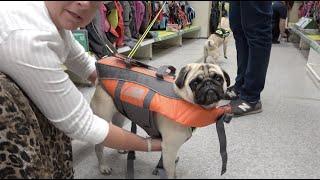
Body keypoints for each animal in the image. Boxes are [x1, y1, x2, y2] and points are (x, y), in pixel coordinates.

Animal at [90, 62, 230, 179]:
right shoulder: (169, 148)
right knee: (98, 147)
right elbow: (171, 173)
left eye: (218, 78)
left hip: (119, 116)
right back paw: (103, 167)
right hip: (103, 120)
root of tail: (99, 81)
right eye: (195, 83)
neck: (183, 98)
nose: (208, 83)